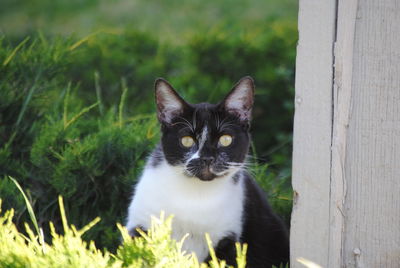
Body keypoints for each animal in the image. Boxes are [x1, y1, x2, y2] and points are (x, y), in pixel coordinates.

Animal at [126, 76, 290, 266]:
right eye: (187, 140)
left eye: (226, 139)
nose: (207, 158)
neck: (195, 196)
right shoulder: (141, 224)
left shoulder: (227, 236)